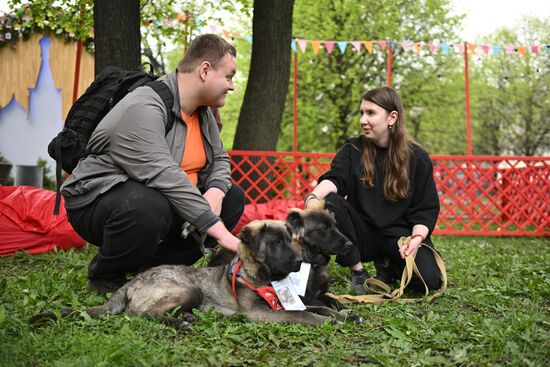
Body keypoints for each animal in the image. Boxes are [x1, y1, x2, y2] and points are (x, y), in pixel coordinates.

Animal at [29, 220, 350, 330]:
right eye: (275, 243)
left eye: (289, 240)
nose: (298, 261)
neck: (262, 276)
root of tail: (133, 281)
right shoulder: (263, 314)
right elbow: (303, 314)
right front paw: (328, 322)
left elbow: (316, 305)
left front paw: (345, 315)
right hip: (186, 289)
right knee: (139, 315)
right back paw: (181, 323)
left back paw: (186, 318)